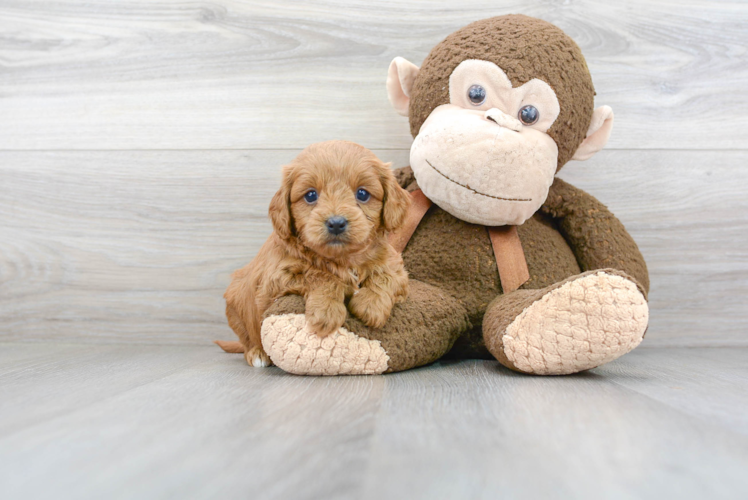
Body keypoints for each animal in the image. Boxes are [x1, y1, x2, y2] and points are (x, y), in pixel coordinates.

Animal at [216, 141, 414, 368]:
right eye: (311, 195)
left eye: (362, 194)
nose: (336, 223)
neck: (343, 258)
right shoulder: (275, 279)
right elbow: (321, 275)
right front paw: (326, 312)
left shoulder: (396, 266)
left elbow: (387, 276)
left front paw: (371, 305)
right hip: (236, 305)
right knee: (247, 339)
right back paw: (257, 353)